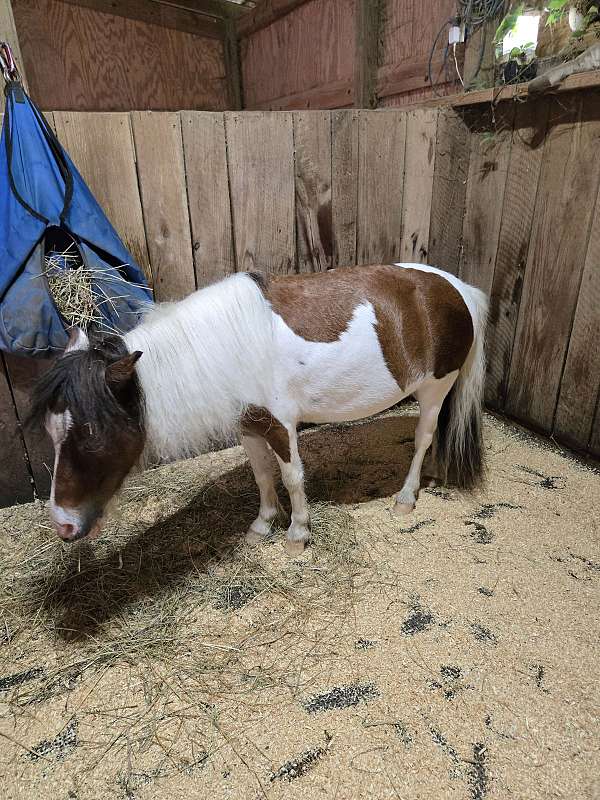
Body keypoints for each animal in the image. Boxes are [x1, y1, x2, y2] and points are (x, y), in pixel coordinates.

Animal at [30, 263, 488, 554]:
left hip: (435, 389)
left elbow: (292, 477)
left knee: (423, 438)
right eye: (51, 433)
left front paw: (298, 533)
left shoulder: (279, 425)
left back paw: (407, 497)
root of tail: (458, 288)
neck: (227, 348)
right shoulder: (248, 425)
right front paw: (263, 524)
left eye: (91, 433)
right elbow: (263, 476)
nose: (63, 525)